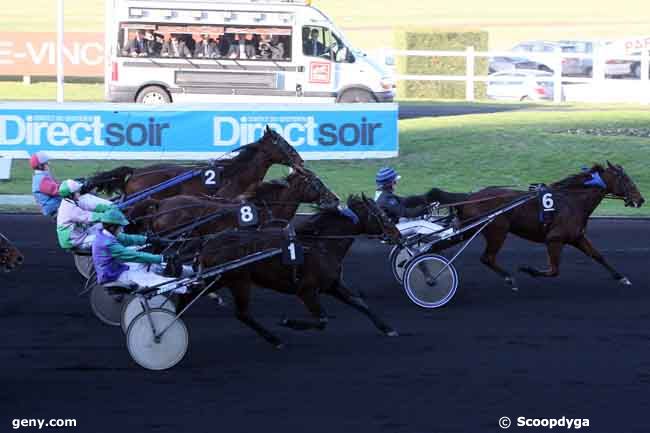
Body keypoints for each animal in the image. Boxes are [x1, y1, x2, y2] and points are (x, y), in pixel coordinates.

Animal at [197, 195, 400, 348]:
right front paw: (288, 322)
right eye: (381, 215)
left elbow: (360, 303)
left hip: (219, 280)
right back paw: (275, 339)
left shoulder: (332, 284)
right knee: (242, 314)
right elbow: (322, 320)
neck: (320, 245)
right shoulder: (306, 290)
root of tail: (209, 243)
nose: (399, 236)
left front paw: (388, 328)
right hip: (239, 281)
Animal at [458, 162, 640, 290]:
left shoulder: (576, 237)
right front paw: (528, 269)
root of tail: (470, 197)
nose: (641, 199)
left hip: (473, 229)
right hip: (497, 230)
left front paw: (622, 278)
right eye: (627, 180)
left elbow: (598, 256)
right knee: (487, 258)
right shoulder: (554, 239)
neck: (573, 201)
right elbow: (554, 270)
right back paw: (509, 279)